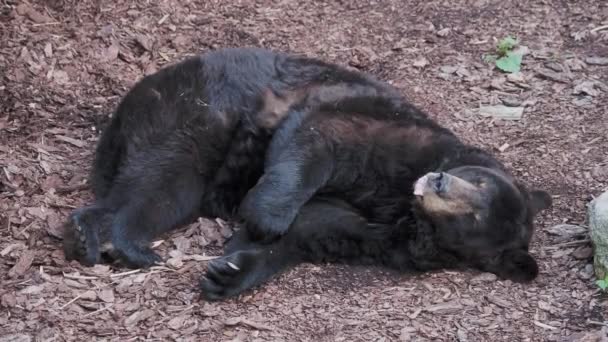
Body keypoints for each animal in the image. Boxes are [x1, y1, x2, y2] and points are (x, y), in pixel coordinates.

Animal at [63, 47, 400, 268]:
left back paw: (89, 237)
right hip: (184, 120)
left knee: (159, 198)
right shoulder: (347, 116)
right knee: (158, 186)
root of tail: (124, 112)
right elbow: (305, 144)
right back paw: (128, 247)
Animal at [198, 75, 552, 300]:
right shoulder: (389, 140)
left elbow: (313, 233)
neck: (405, 206)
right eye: (480, 180)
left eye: (472, 218)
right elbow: (317, 142)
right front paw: (264, 219)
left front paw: (228, 270)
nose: (439, 181)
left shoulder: (383, 237)